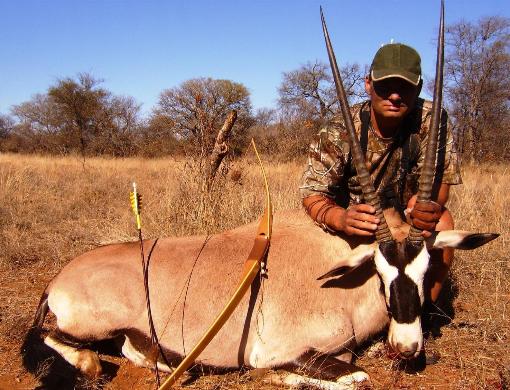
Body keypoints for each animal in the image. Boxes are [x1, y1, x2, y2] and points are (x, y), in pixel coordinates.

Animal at [21, 3, 496, 390]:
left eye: (427, 267)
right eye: (380, 271)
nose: (408, 346)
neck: (339, 269)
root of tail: (58, 279)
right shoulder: (284, 349)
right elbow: (355, 375)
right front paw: (276, 375)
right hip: (89, 327)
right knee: (68, 344)